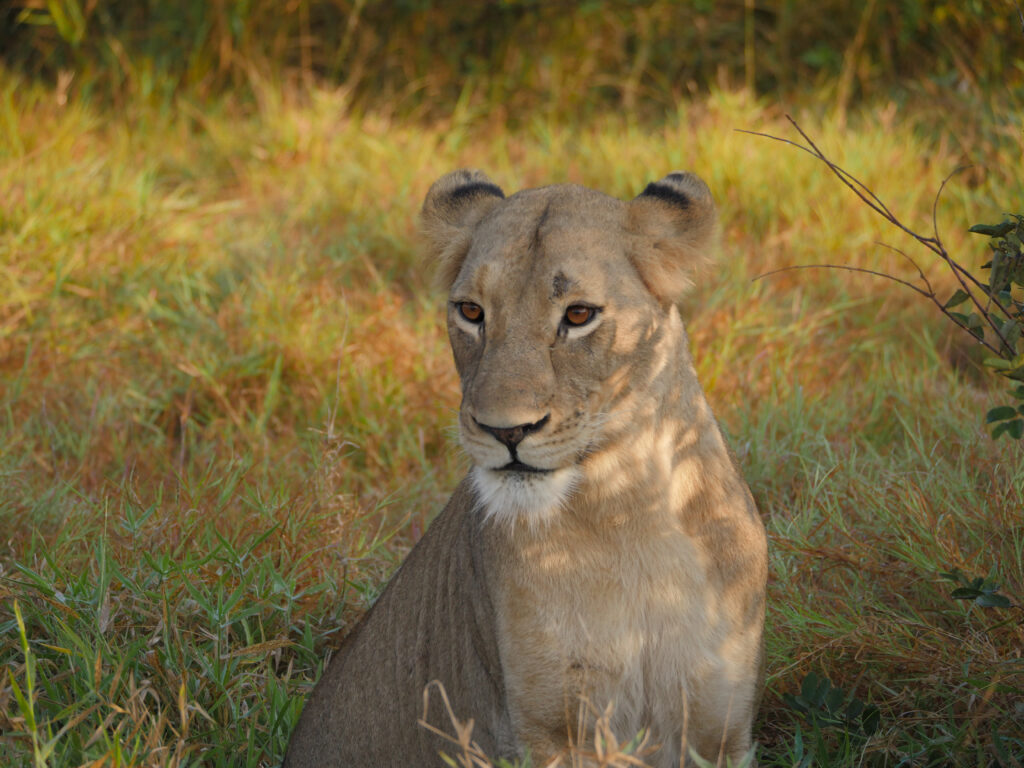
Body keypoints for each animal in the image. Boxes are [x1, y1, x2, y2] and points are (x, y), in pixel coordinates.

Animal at [282, 170, 768, 768]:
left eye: (579, 315)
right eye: (471, 312)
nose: (505, 431)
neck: (629, 512)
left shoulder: (718, 727)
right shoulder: (552, 728)